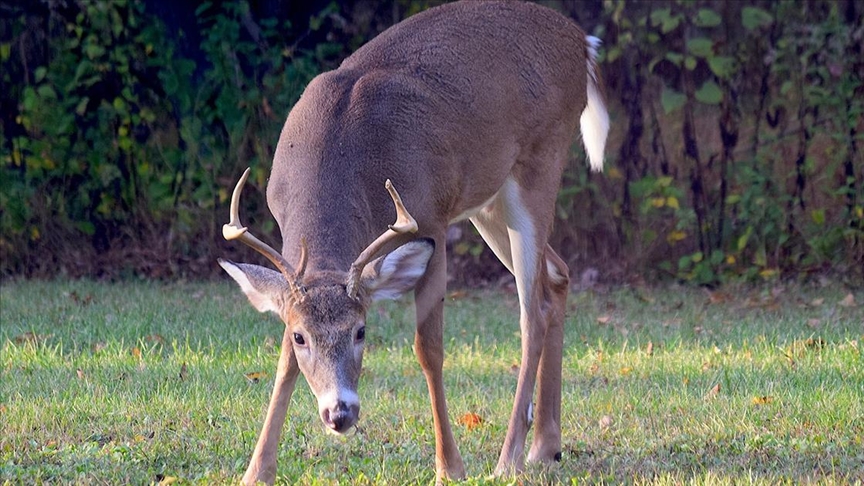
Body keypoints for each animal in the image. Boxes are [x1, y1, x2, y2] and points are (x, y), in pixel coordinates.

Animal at [219, 1, 612, 484]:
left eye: (361, 331)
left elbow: (429, 349)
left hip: (540, 162)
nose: (340, 414)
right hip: (487, 200)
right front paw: (257, 471)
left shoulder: (432, 219)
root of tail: (582, 43)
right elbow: (282, 366)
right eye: (299, 336)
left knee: (531, 313)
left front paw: (450, 466)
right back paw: (545, 447)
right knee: (557, 275)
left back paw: (509, 458)